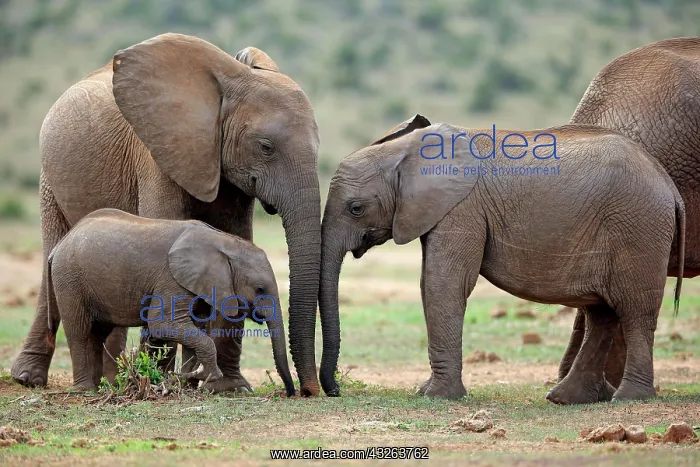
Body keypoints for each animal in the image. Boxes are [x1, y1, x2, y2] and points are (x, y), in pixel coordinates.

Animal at [46, 208, 295, 396]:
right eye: (259, 289)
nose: (291, 392)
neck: (223, 242)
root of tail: (57, 246)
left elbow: (196, 329)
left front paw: (190, 382)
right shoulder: (172, 280)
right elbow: (163, 324)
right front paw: (202, 376)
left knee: (97, 334)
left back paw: (100, 387)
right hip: (69, 279)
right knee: (79, 331)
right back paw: (84, 390)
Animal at [317, 115, 685, 402]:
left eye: (356, 208)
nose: (336, 390)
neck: (405, 153)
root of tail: (669, 185)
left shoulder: (463, 209)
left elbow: (443, 284)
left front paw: (436, 397)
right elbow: (433, 283)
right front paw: (427, 392)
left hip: (638, 228)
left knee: (635, 310)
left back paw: (628, 398)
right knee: (602, 314)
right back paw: (566, 399)